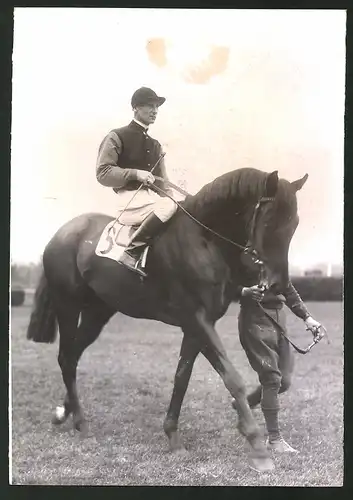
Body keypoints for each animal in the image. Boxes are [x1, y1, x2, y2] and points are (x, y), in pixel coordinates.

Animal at [26, 168, 306, 472]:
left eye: (295, 223)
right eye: (269, 219)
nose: (279, 285)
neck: (204, 240)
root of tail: (62, 233)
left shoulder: (196, 326)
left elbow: (181, 377)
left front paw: (172, 435)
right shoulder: (198, 320)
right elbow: (232, 378)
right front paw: (257, 445)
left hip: (97, 313)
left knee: (74, 355)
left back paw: (65, 413)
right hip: (68, 307)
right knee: (66, 358)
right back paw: (81, 422)